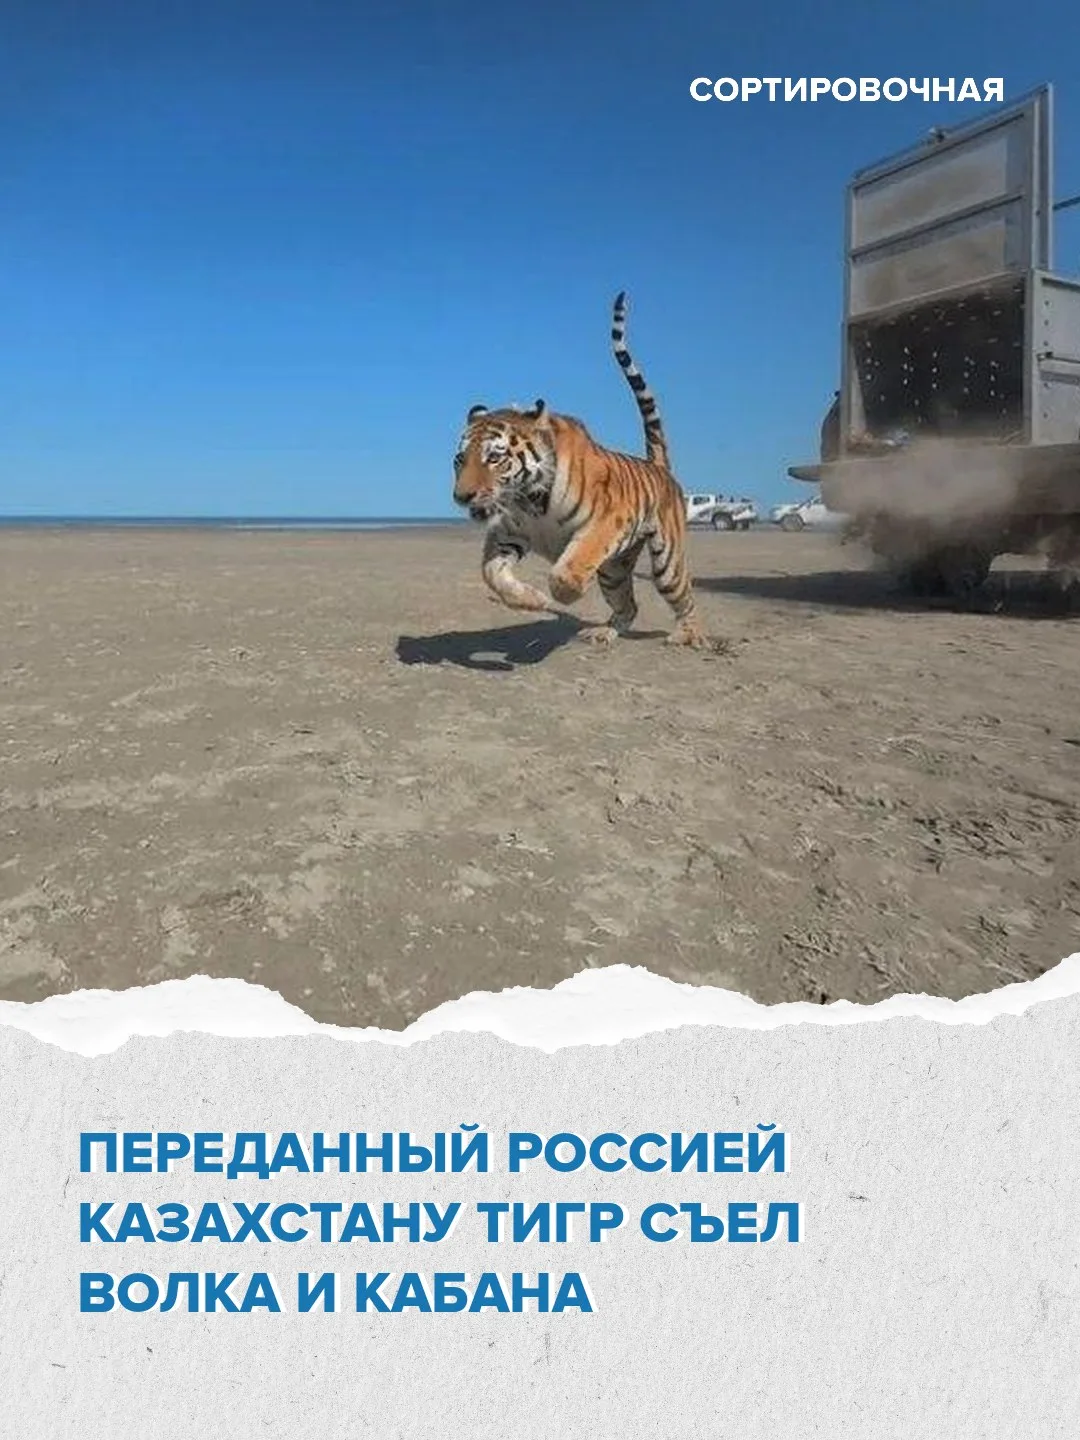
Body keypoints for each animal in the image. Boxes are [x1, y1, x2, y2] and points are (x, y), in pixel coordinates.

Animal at [451, 291, 706, 648]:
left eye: (494, 457)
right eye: (460, 459)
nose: (462, 496)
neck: (529, 498)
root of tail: (657, 464)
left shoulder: (604, 524)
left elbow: (566, 570)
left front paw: (562, 595)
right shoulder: (507, 534)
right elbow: (492, 575)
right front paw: (533, 600)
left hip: (665, 563)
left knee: (685, 596)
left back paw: (689, 634)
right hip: (614, 571)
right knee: (628, 605)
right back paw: (604, 632)